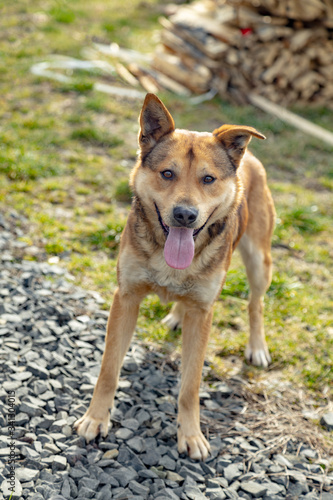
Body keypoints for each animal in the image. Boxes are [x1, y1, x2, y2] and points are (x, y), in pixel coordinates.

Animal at [74, 94, 274, 460]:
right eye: (167, 173)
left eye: (208, 179)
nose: (184, 215)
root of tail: (248, 156)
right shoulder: (126, 298)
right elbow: (109, 370)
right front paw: (96, 419)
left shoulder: (204, 312)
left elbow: (190, 385)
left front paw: (191, 435)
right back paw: (176, 316)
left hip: (258, 261)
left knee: (255, 303)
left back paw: (256, 347)